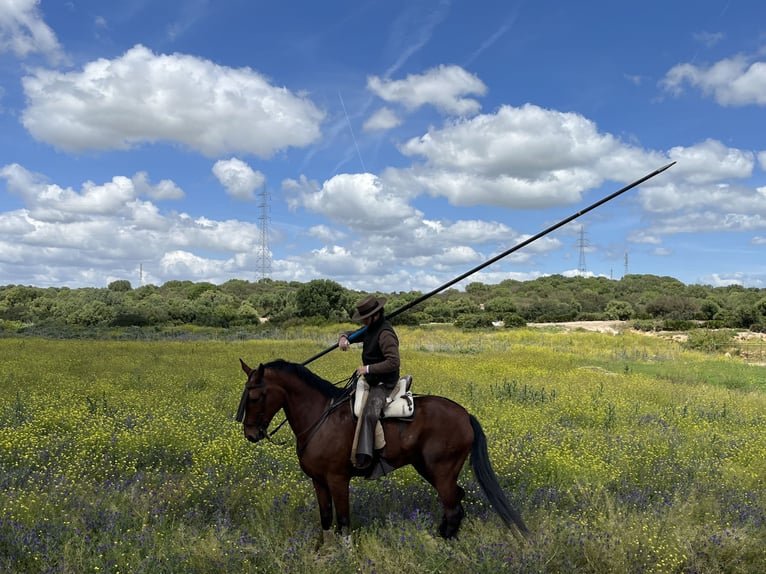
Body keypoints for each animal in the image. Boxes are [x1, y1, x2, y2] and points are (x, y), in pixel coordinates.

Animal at [238, 358, 528, 544]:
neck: (321, 416)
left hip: (442, 471)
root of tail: (465, 414)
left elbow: (344, 521)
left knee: (453, 507)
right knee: (456, 502)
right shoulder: (318, 481)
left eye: (255, 397)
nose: (251, 434)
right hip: (430, 470)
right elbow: (326, 519)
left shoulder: (338, 480)